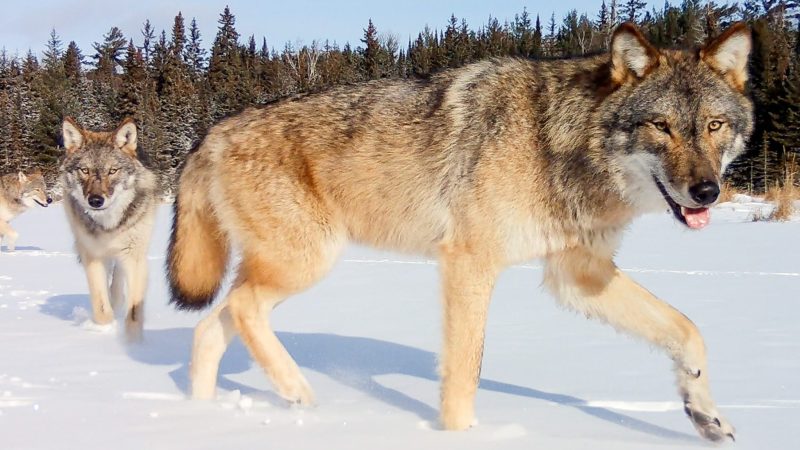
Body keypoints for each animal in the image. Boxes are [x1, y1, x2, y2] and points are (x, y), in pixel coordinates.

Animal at [60, 117, 158, 340]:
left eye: (112, 171)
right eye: (85, 170)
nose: (96, 201)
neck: (109, 224)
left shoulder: (134, 257)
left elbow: (134, 312)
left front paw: (134, 343)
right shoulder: (93, 255)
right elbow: (101, 306)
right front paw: (105, 331)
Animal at [167, 23, 752, 441]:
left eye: (714, 126)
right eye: (661, 127)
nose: (707, 191)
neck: (556, 143)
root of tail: (212, 132)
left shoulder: (578, 275)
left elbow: (687, 329)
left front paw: (705, 415)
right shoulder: (470, 263)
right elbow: (465, 371)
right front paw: (460, 436)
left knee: (210, 328)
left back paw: (206, 416)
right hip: (306, 262)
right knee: (242, 310)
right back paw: (298, 394)